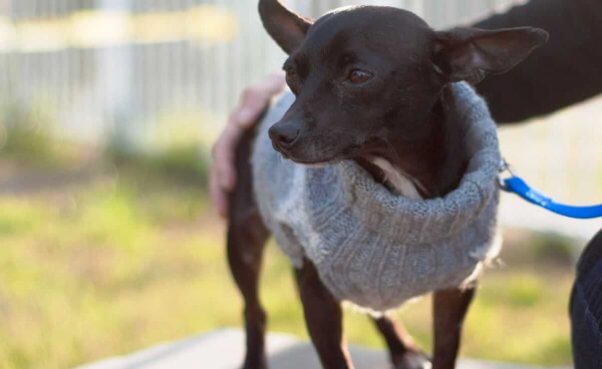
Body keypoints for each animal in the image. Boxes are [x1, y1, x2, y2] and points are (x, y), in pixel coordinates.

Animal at [223, 1, 548, 366]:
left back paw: (401, 347)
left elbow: (445, 350)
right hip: (244, 240)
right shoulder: (318, 294)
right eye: (291, 73)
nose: (279, 134)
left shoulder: (455, 291)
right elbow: (336, 358)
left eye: (358, 76)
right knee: (254, 310)